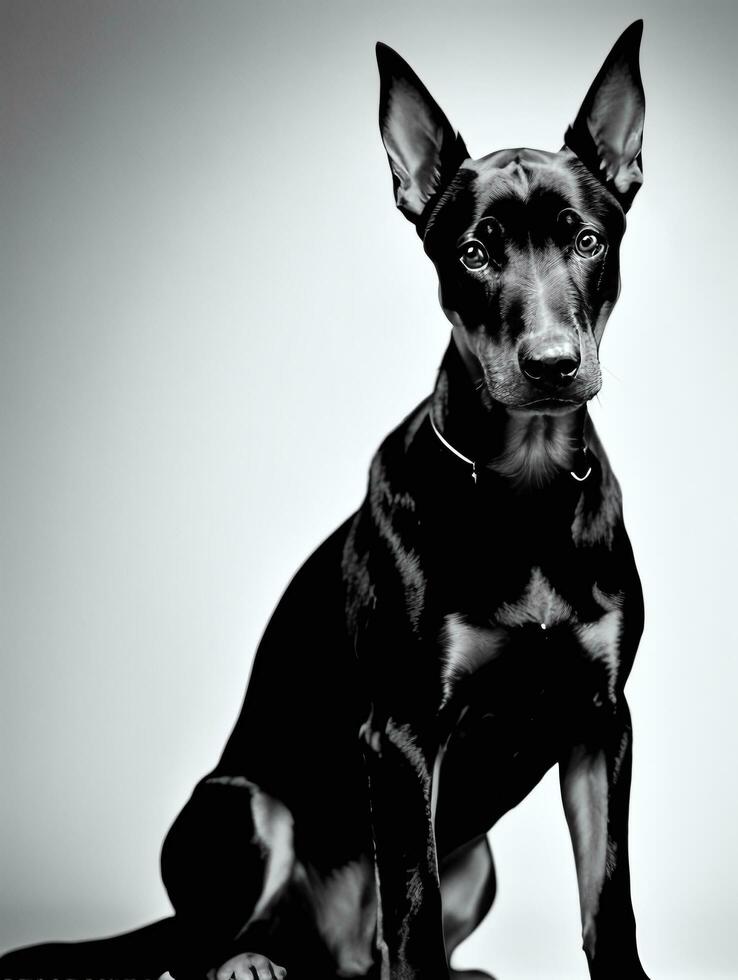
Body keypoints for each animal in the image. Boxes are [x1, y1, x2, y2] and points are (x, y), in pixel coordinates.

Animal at [0, 19, 648, 980]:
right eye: (474, 252)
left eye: (587, 241)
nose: (551, 365)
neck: (521, 489)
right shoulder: (404, 737)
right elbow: (412, 919)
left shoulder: (602, 726)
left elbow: (607, 905)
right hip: (242, 808)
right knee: (196, 946)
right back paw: (247, 962)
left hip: (476, 860)